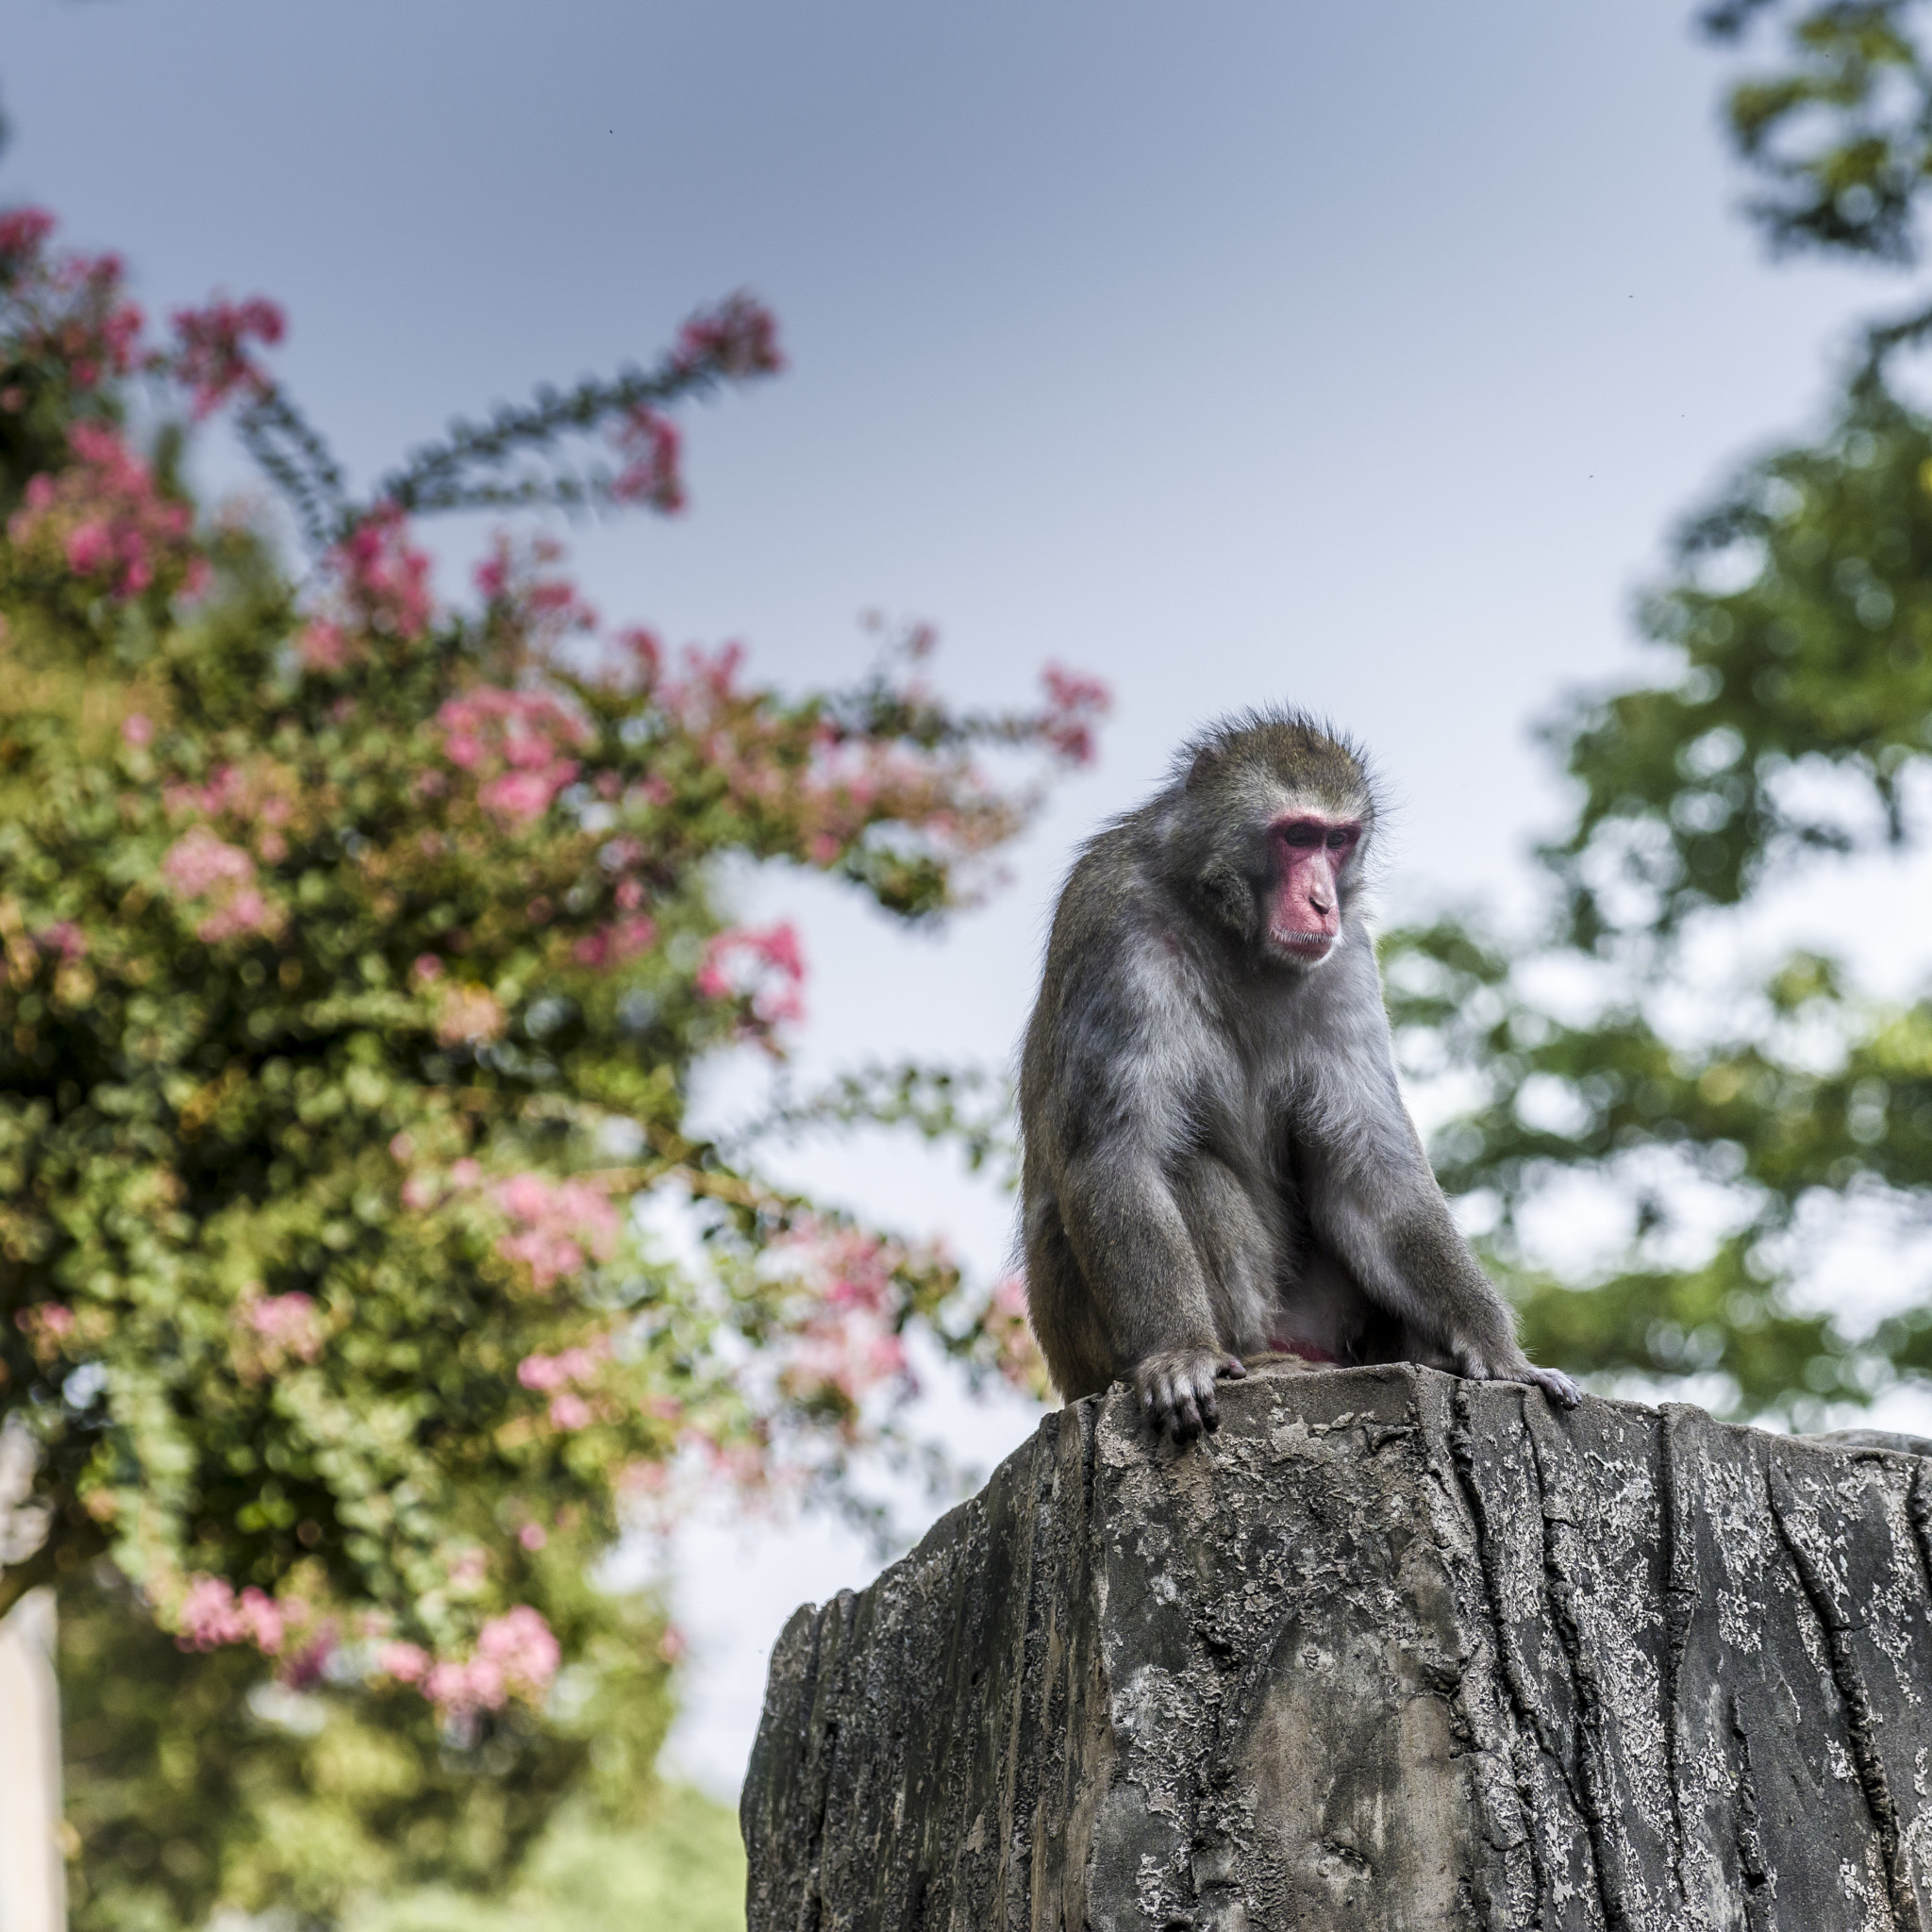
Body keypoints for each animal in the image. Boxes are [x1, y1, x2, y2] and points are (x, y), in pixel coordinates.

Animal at [1020, 710, 1576, 1437]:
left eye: (1338, 841)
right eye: (1298, 836)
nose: (1320, 903)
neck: (1227, 926)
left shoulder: (1348, 959)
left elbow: (1371, 1173)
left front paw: (1501, 1353)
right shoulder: (1113, 925)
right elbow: (1117, 1153)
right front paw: (1179, 1352)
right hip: (1078, 1339)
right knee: (1187, 1167)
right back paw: (1254, 1356)